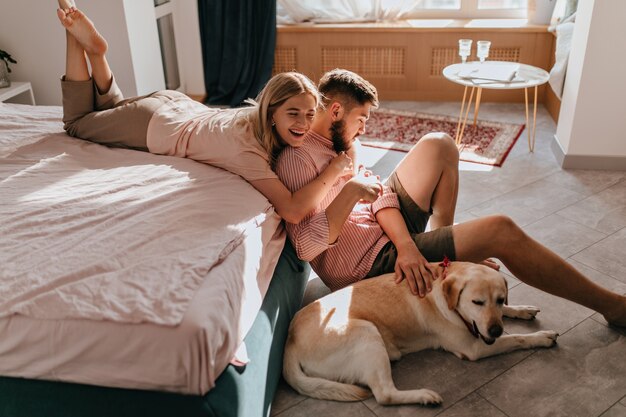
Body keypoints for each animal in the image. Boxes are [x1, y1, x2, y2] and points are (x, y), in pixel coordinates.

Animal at [282, 262, 556, 404]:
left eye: (499, 299)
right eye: (477, 302)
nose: (496, 330)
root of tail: (289, 343)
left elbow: (510, 313)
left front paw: (521, 309)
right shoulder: (474, 348)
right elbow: (516, 338)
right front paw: (541, 337)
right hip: (367, 332)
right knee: (384, 394)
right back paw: (424, 395)